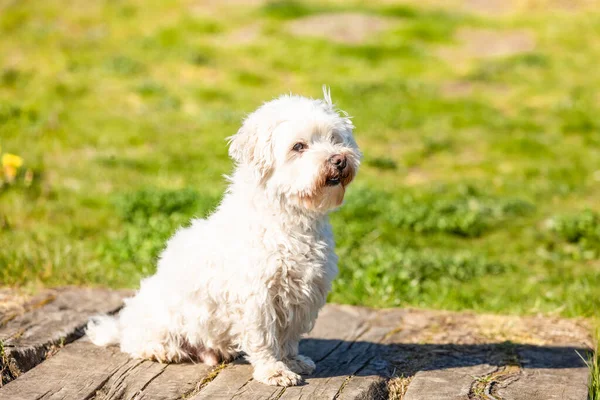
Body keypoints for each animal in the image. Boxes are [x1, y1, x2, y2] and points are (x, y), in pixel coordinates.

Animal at [86, 88, 360, 388]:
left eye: (334, 139)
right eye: (298, 146)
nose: (339, 160)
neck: (290, 220)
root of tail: (121, 324)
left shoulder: (302, 295)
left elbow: (288, 338)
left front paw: (292, 361)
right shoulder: (258, 297)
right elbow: (265, 339)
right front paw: (273, 371)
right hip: (160, 318)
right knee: (135, 341)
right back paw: (162, 350)